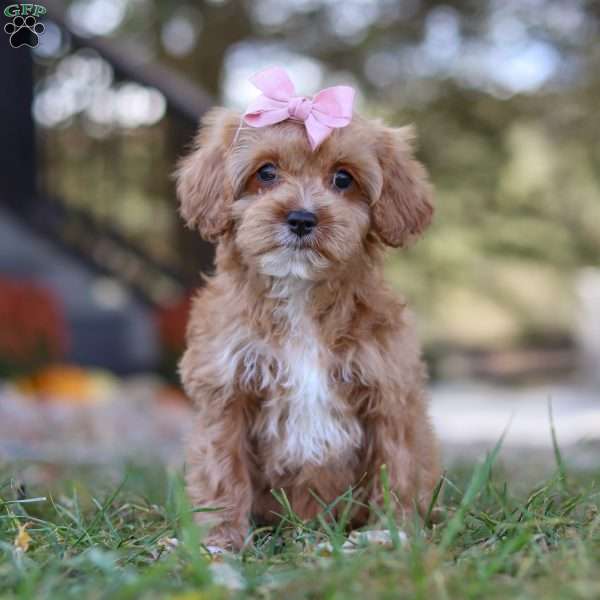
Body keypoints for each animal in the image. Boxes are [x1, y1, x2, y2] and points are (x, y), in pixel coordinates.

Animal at [176, 68, 438, 552]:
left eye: (343, 179)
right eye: (266, 172)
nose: (301, 218)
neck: (299, 292)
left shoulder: (388, 392)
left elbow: (395, 467)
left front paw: (388, 533)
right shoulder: (226, 391)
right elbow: (223, 470)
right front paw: (221, 540)